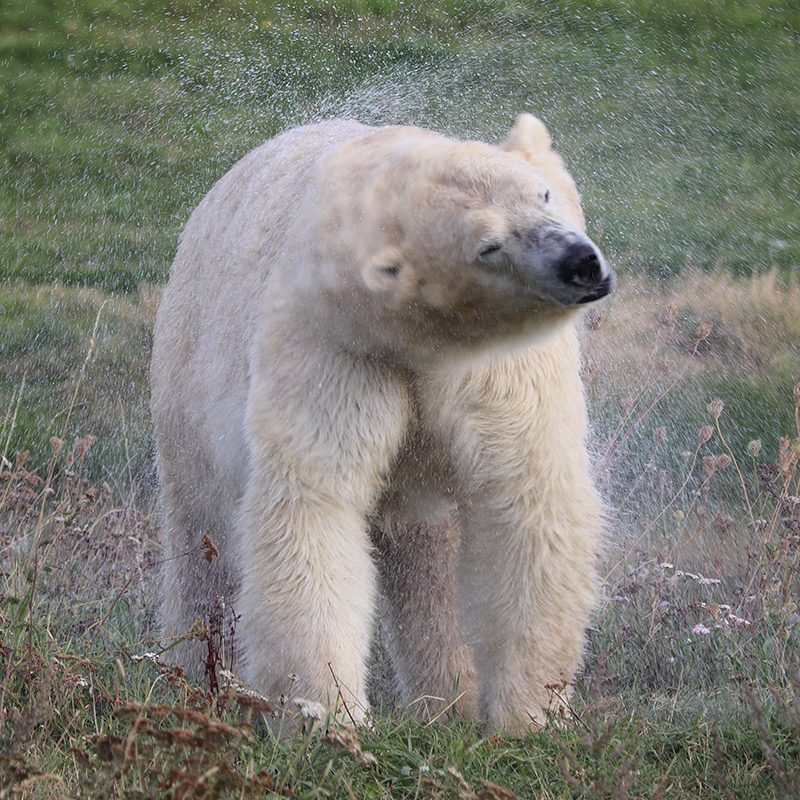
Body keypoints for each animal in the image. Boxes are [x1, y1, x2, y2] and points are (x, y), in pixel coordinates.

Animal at [150, 115, 612, 736]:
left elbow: (526, 498)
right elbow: (312, 507)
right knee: (200, 542)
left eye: (541, 194)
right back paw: (188, 676)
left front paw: (529, 715)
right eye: (487, 247)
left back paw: (448, 702)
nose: (580, 262)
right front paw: (326, 716)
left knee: (427, 558)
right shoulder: (336, 349)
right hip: (187, 378)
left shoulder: (496, 369)